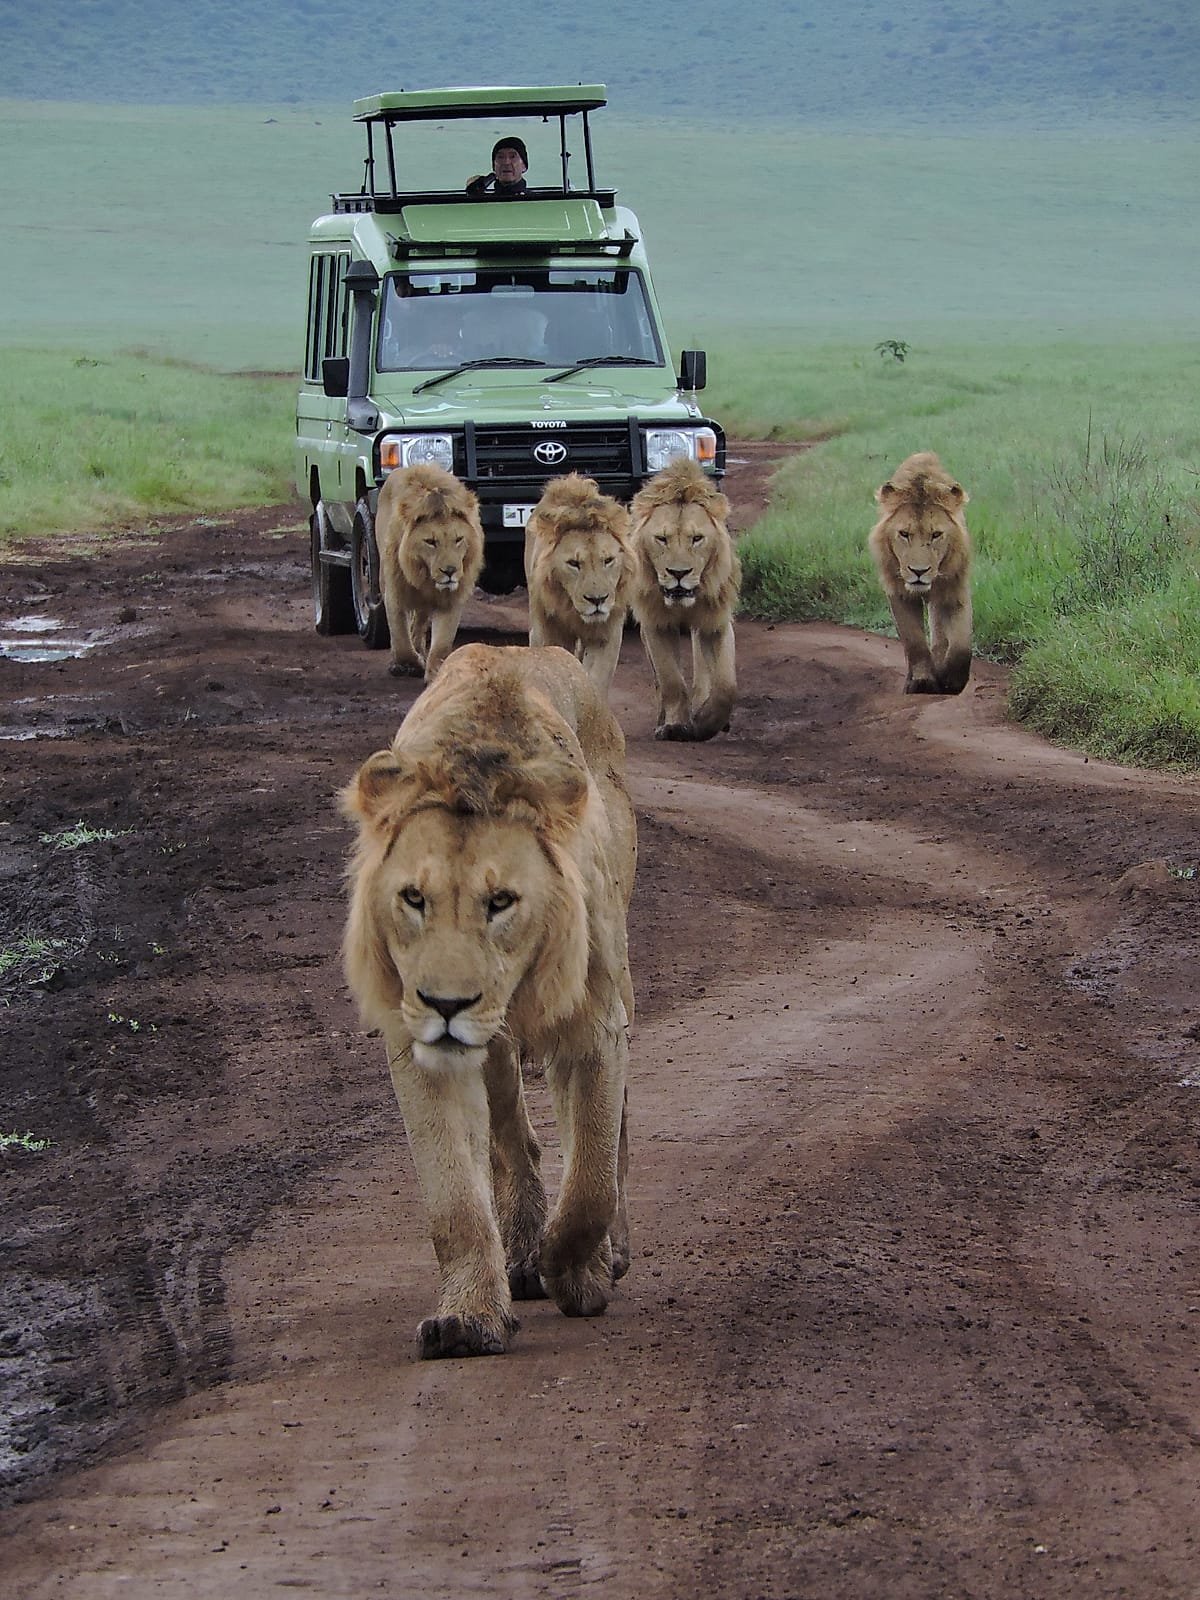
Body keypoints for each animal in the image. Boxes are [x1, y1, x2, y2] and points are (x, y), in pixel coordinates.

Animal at [341, 643, 637, 1360]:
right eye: (413, 899)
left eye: (501, 901)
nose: (446, 1004)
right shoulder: (415, 1040)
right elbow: (453, 1197)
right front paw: (470, 1317)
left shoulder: (593, 1019)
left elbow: (590, 1177)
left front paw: (573, 1269)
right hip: (493, 1050)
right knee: (512, 1140)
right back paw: (521, 1250)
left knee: (611, 1134)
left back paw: (600, 1254)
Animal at [375, 463, 485, 682]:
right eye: (430, 542)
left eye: (458, 539)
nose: (450, 571)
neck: (424, 576)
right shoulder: (395, 594)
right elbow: (401, 641)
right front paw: (412, 663)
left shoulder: (451, 598)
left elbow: (442, 643)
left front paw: (436, 671)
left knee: (419, 623)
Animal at [524, 474, 634, 700]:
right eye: (574, 563)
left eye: (608, 560)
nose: (597, 600)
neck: (572, 609)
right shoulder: (548, 633)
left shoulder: (606, 635)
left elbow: (596, 680)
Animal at [629, 458, 741, 740]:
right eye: (661, 539)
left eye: (697, 538)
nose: (678, 573)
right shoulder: (655, 623)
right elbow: (671, 680)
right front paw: (676, 726)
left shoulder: (715, 621)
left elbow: (726, 686)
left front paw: (705, 722)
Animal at [868, 452, 972, 694]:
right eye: (904, 534)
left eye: (936, 535)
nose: (918, 571)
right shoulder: (899, 592)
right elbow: (914, 640)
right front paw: (923, 681)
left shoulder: (955, 589)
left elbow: (961, 645)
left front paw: (951, 681)